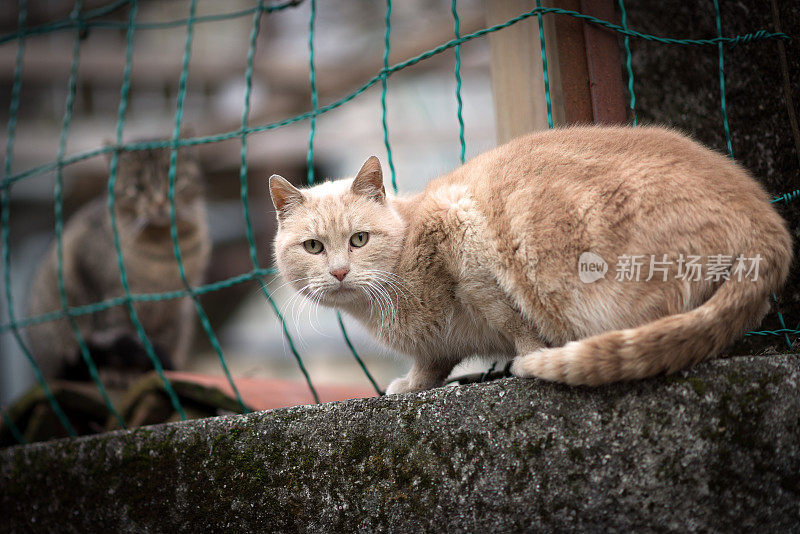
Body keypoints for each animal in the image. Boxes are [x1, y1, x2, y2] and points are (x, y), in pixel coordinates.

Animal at [28, 143, 209, 386]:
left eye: (176, 180)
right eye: (136, 188)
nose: (160, 203)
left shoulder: (176, 309)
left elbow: (164, 341)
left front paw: (159, 369)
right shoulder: (108, 294)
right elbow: (119, 333)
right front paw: (125, 374)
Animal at [270, 124, 792, 394]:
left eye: (359, 239)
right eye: (314, 247)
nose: (339, 271)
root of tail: (767, 220)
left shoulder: (464, 237)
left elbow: (513, 323)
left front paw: (525, 360)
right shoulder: (436, 345)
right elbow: (433, 362)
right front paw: (415, 384)